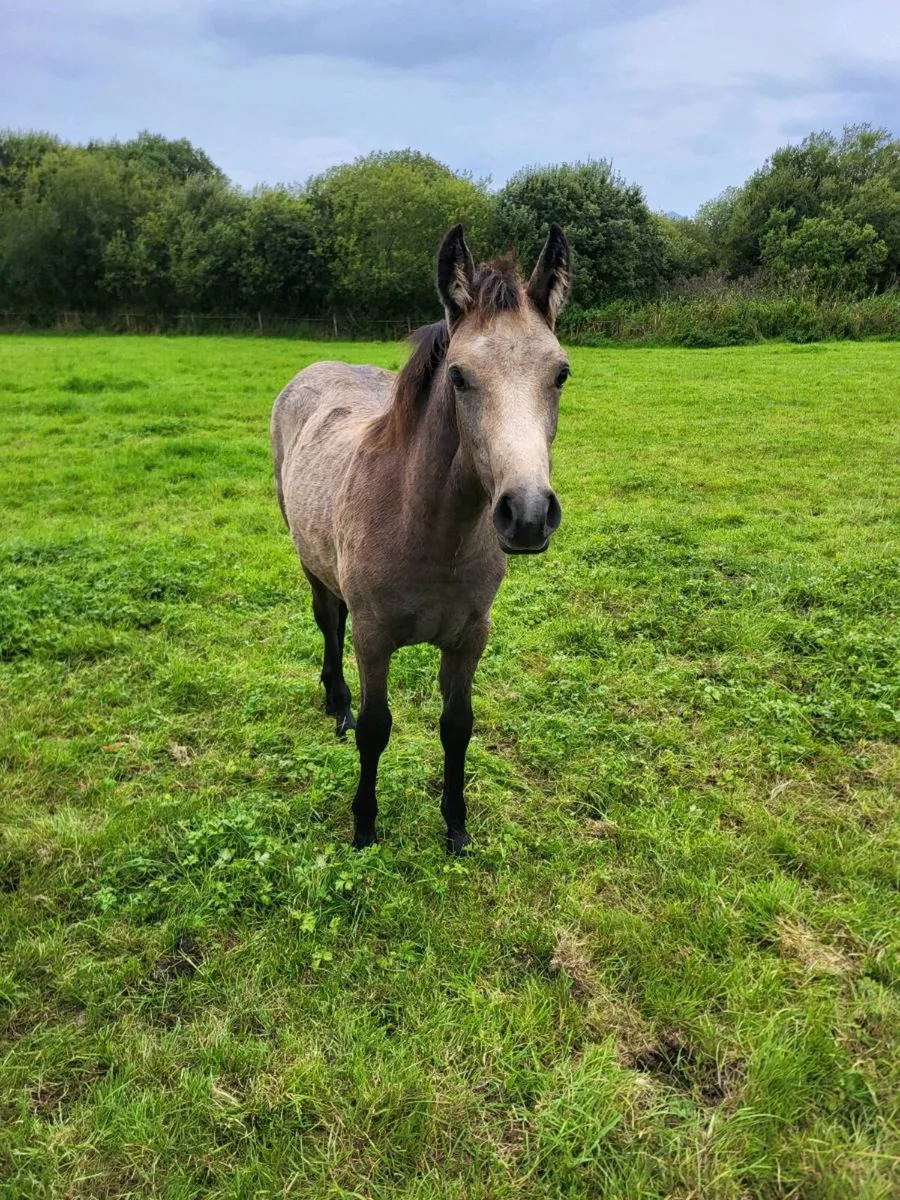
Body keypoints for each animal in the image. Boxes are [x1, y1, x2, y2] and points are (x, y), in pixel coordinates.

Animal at [271, 223, 571, 854]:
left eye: (560, 373)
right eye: (458, 375)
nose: (528, 515)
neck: (430, 532)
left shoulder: (470, 638)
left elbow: (458, 727)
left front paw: (455, 825)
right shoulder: (374, 639)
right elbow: (376, 728)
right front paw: (364, 826)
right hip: (310, 561)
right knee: (327, 621)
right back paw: (336, 705)